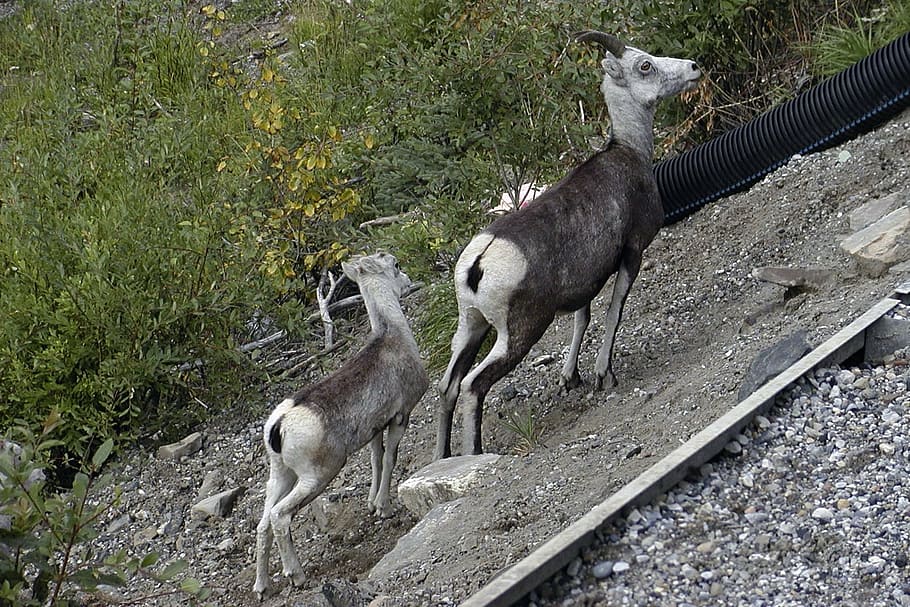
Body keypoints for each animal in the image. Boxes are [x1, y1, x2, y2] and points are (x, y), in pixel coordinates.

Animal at [253, 252, 429, 599]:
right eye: (395, 265)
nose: (407, 281)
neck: (393, 336)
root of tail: (279, 425)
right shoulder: (400, 418)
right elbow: (391, 459)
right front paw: (384, 509)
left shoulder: (375, 430)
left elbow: (377, 461)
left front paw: (373, 504)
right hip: (318, 476)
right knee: (280, 517)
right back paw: (297, 576)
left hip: (281, 475)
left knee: (263, 524)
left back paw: (262, 587)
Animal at [435, 31, 700, 458]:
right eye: (644, 66)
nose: (693, 68)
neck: (630, 153)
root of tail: (480, 262)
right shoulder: (632, 253)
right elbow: (613, 312)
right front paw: (603, 375)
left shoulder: (584, 285)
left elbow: (583, 320)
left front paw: (570, 378)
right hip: (519, 332)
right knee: (474, 385)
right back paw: (475, 454)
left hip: (471, 326)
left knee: (448, 386)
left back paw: (442, 457)